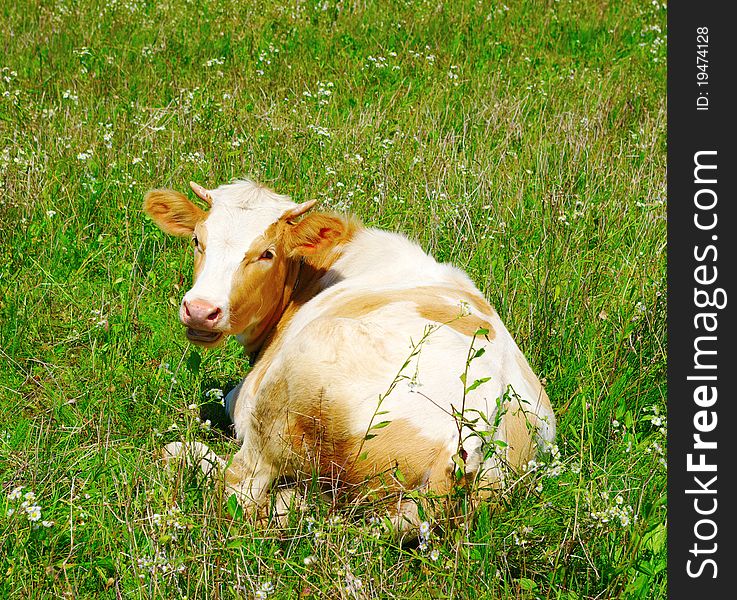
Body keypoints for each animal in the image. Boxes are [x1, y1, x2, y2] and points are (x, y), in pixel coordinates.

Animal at [144, 179, 552, 536]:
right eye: (198, 241)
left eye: (267, 253)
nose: (201, 310)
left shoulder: (246, 395)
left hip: (297, 374)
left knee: (241, 488)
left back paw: (189, 455)